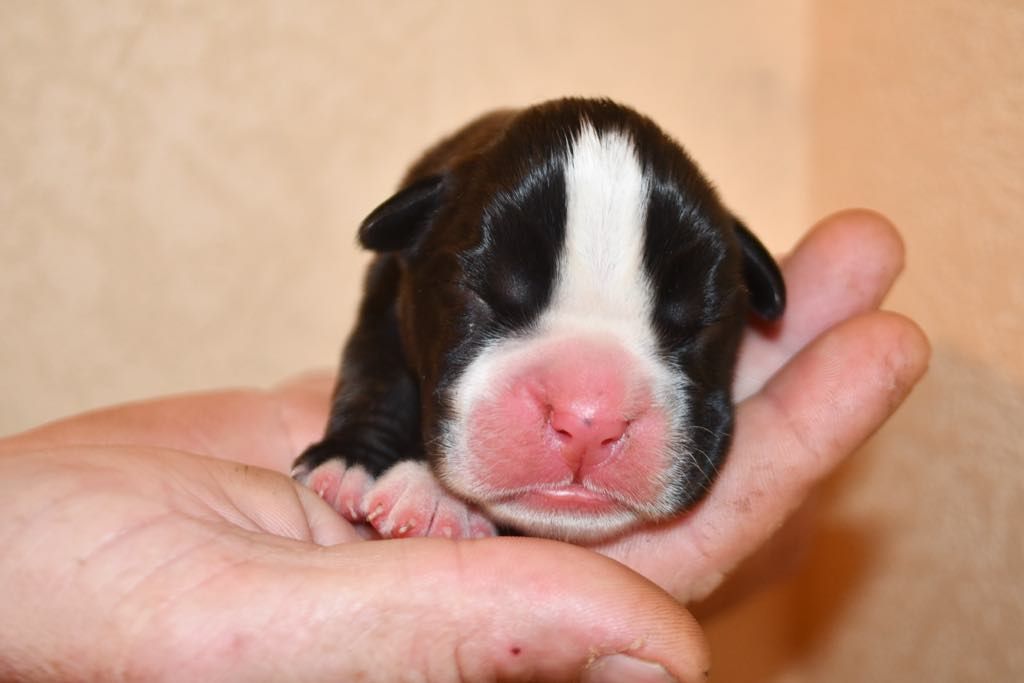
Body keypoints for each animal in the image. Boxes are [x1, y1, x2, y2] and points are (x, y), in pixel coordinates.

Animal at [292, 98, 785, 542]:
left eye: (698, 325)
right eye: (484, 295)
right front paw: (359, 461)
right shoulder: (388, 289)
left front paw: (431, 494)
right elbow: (377, 375)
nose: (589, 423)